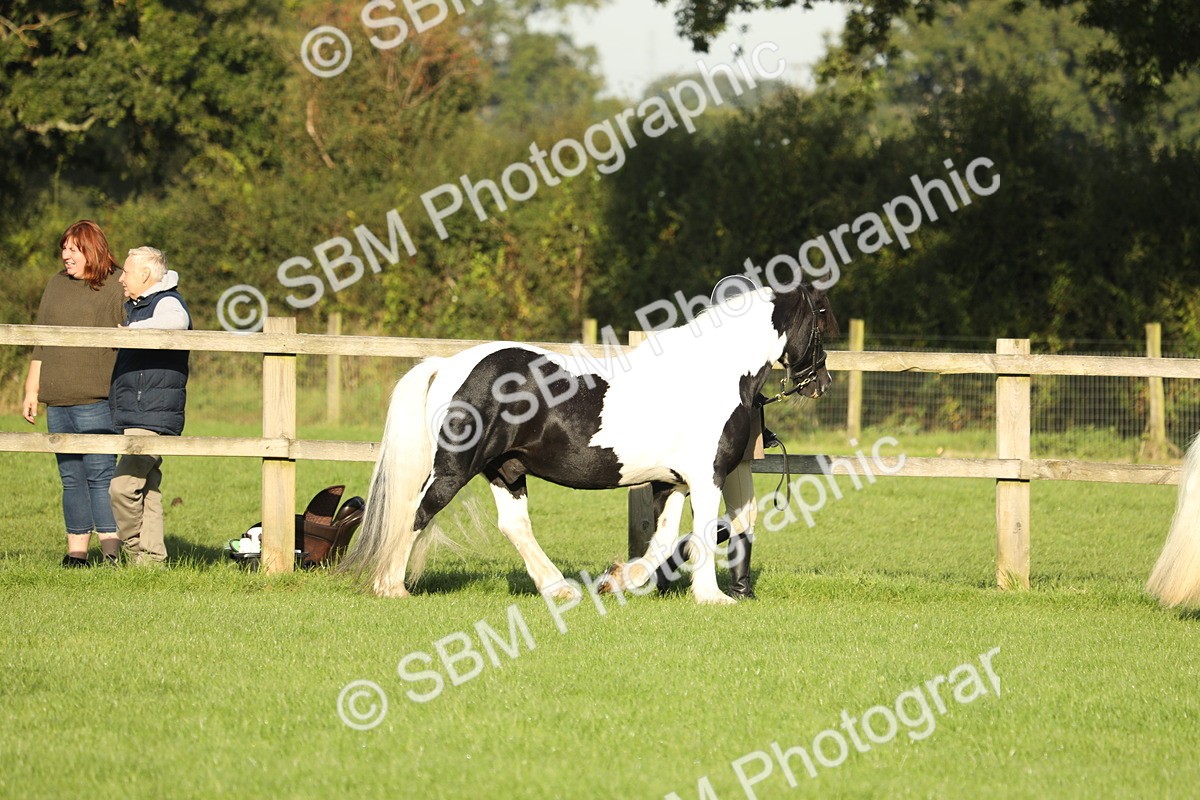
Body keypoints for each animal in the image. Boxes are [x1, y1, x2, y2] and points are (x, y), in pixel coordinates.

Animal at [340, 284, 836, 604]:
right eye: (822, 322)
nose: (821, 384)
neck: (711, 371)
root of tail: (448, 365)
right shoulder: (706, 477)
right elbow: (699, 536)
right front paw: (712, 598)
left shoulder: (673, 482)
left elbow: (662, 543)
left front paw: (617, 582)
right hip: (455, 468)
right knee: (417, 511)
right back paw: (391, 587)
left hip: (506, 469)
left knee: (514, 526)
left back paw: (559, 588)